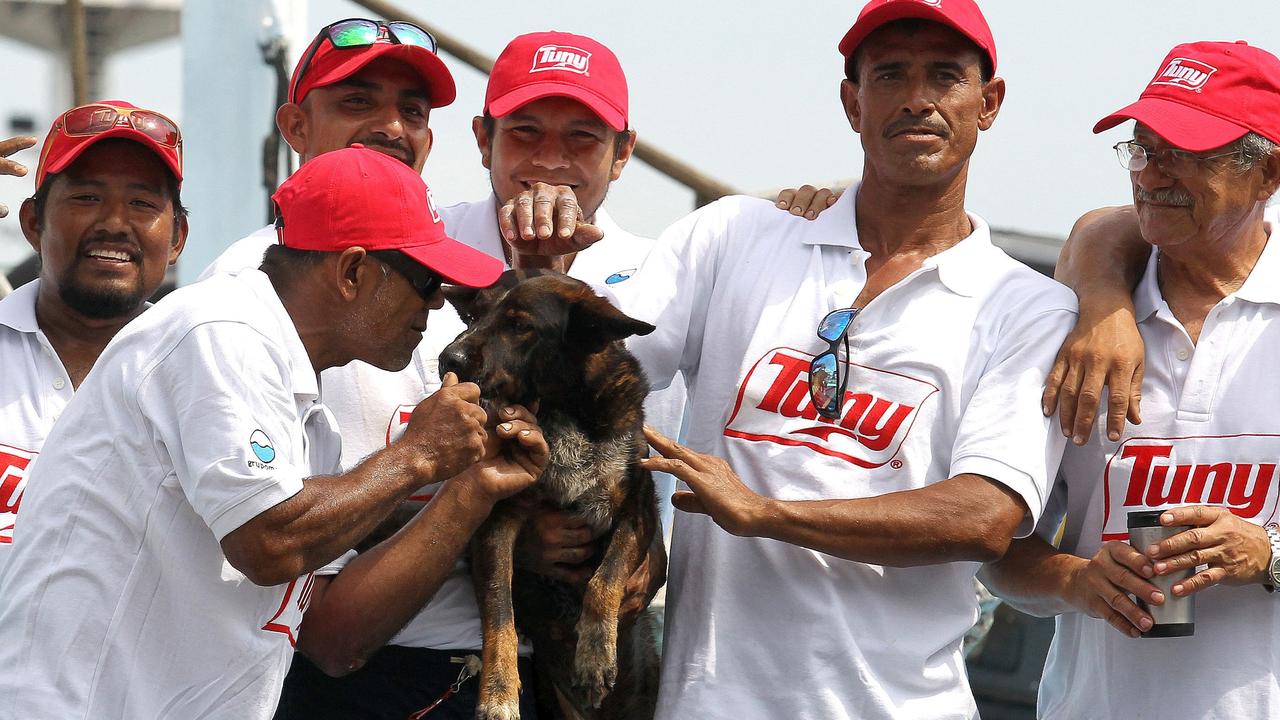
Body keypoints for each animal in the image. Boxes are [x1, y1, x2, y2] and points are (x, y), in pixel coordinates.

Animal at [440, 269, 660, 717]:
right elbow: (499, 614)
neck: (559, 410)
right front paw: (498, 692)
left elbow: (605, 578)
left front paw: (594, 657)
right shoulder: (496, 522)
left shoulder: (639, 509)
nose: (446, 359)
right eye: (474, 316)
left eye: (519, 325)